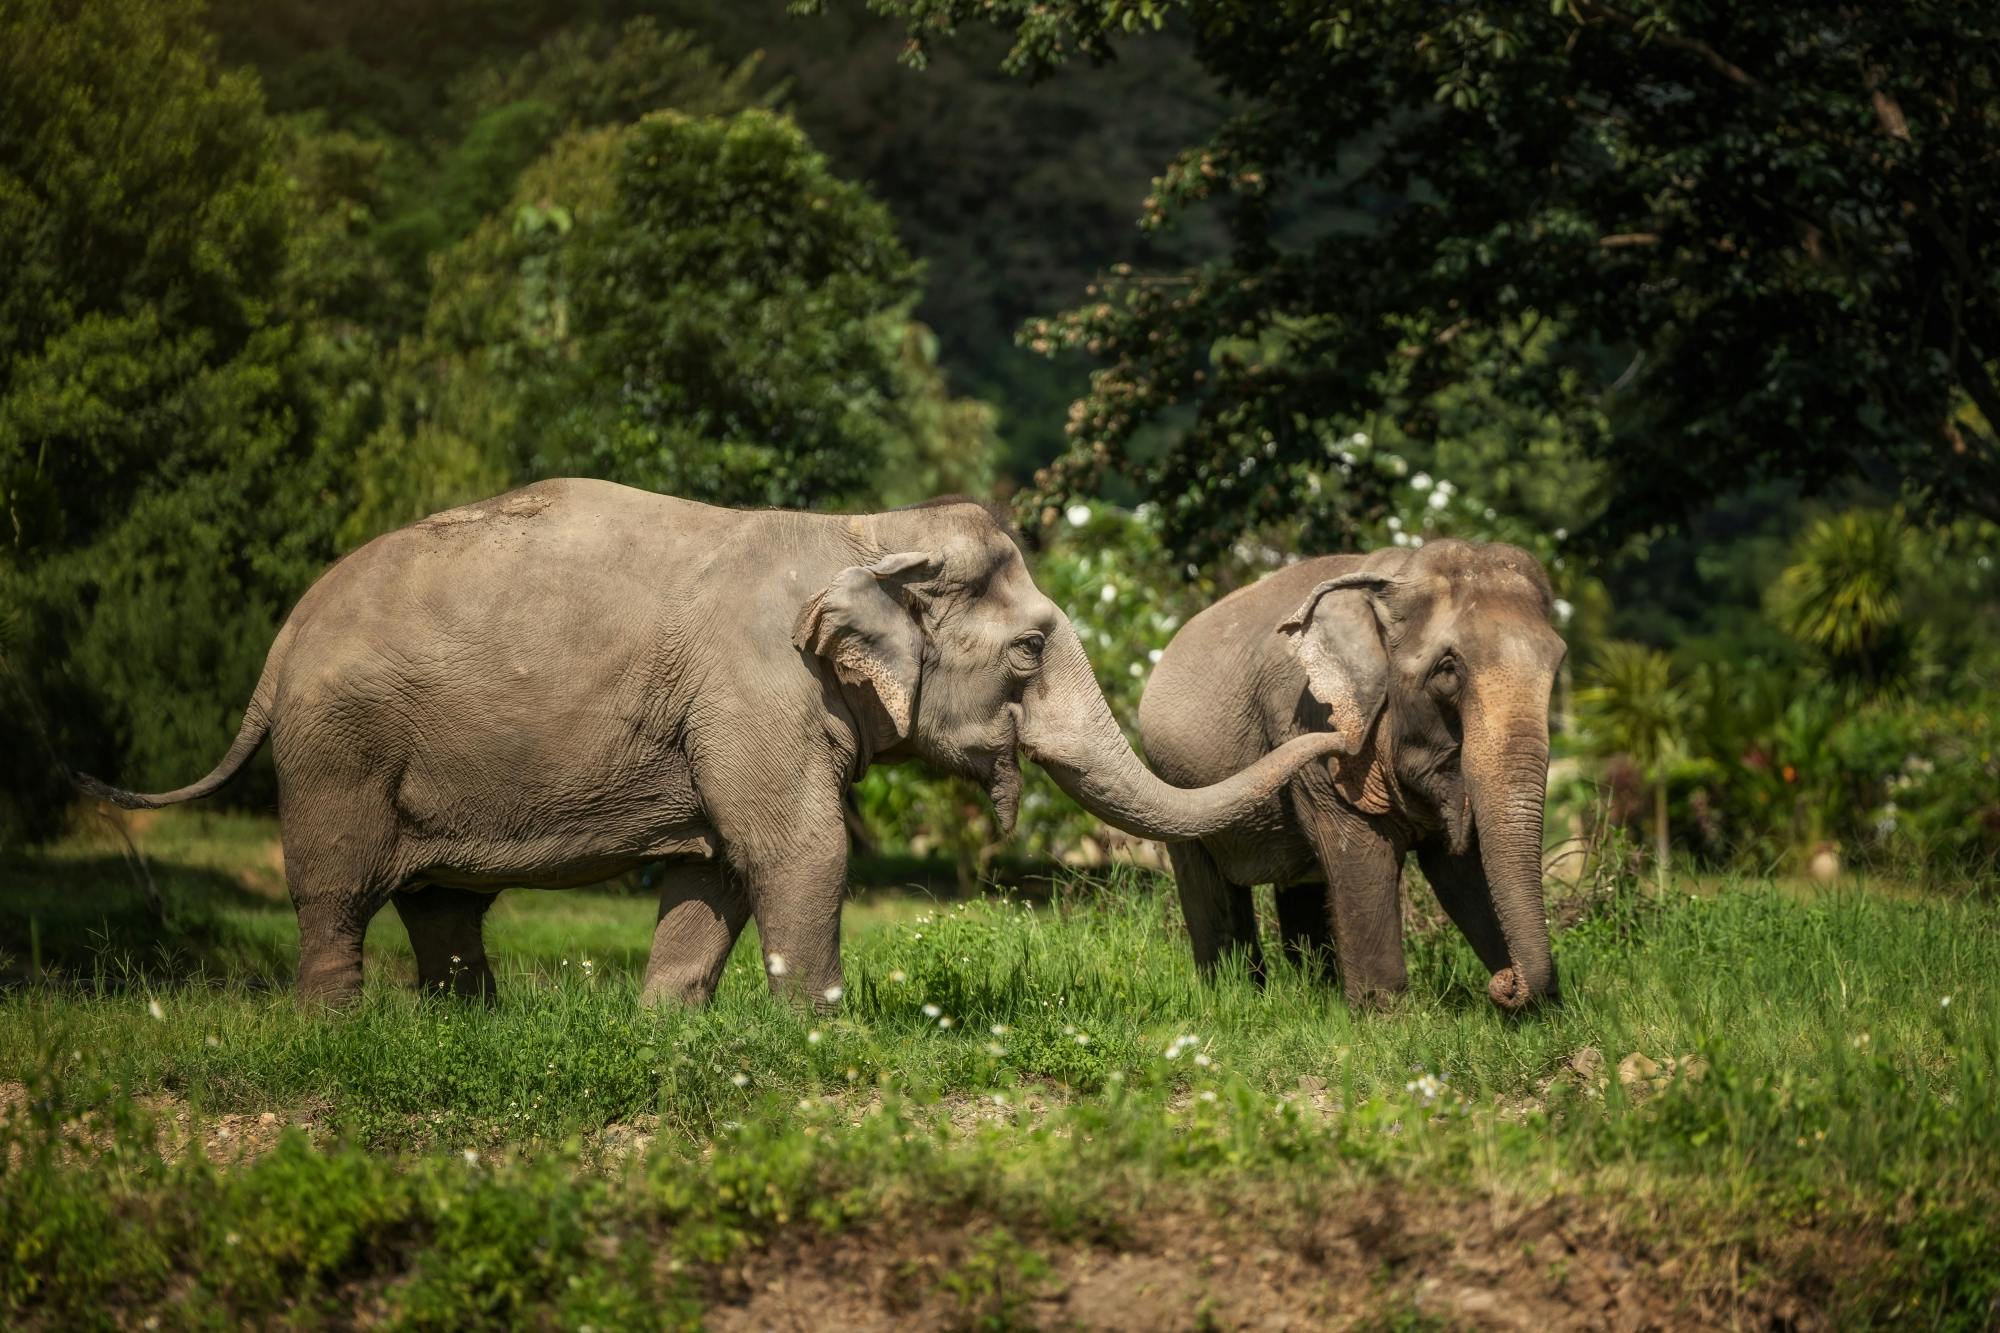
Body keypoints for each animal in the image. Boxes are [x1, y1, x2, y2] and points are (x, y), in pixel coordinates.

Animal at [78, 479, 1345, 1009]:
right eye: (1033, 648)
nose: (1332, 731)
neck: (858, 532)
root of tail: (282, 640)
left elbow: (718, 870)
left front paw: (667, 1030)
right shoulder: (754, 690)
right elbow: (797, 850)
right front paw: (820, 1032)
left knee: (444, 902)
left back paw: (469, 1027)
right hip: (339, 746)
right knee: (338, 888)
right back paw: (341, 1032)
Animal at [1137, 539, 1566, 1011]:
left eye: (1557, 664)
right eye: (1448, 669)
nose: (1505, 983)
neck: (1395, 575)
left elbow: (1459, 870)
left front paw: (1540, 1016)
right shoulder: (1307, 717)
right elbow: (1360, 853)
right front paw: (1384, 1015)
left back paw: (1315, 991)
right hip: (1175, 782)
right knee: (1210, 889)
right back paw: (1235, 995)